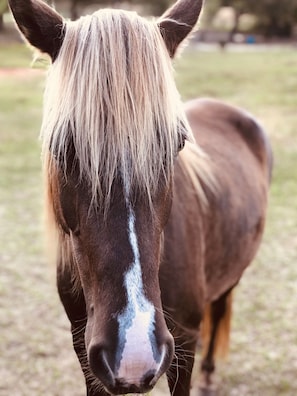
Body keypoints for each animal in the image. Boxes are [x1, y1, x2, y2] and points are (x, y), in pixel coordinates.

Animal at [9, 0, 272, 394]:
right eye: (62, 146)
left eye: (176, 143)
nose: (133, 353)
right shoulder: (85, 351)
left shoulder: (183, 342)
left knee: (221, 303)